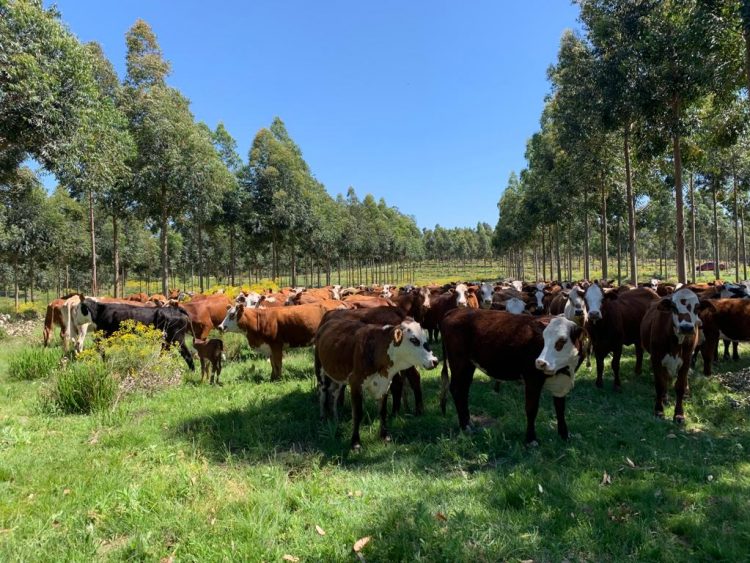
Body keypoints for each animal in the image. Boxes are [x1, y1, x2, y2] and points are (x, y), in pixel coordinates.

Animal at [315, 317, 438, 449]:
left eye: (425, 339)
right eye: (414, 340)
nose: (435, 361)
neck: (376, 349)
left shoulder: (384, 385)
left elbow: (383, 412)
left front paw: (385, 436)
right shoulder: (356, 384)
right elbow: (357, 414)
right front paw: (355, 442)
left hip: (338, 377)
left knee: (333, 394)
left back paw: (336, 420)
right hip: (320, 371)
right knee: (322, 394)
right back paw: (322, 418)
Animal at [440, 309, 584, 445]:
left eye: (562, 341)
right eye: (543, 339)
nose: (540, 362)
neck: (564, 370)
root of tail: (457, 310)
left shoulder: (562, 384)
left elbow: (560, 409)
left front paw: (564, 435)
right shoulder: (532, 379)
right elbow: (531, 409)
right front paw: (531, 440)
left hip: (469, 365)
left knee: (463, 391)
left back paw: (468, 423)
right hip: (459, 362)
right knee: (457, 390)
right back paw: (465, 427)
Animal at [640, 288, 704, 423]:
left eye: (697, 307)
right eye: (674, 307)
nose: (686, 327)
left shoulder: (686, 360)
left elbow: (680, 386)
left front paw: (679, 414)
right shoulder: (656, 358)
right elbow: (660, 384)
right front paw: (659, 410)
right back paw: (664, 397)